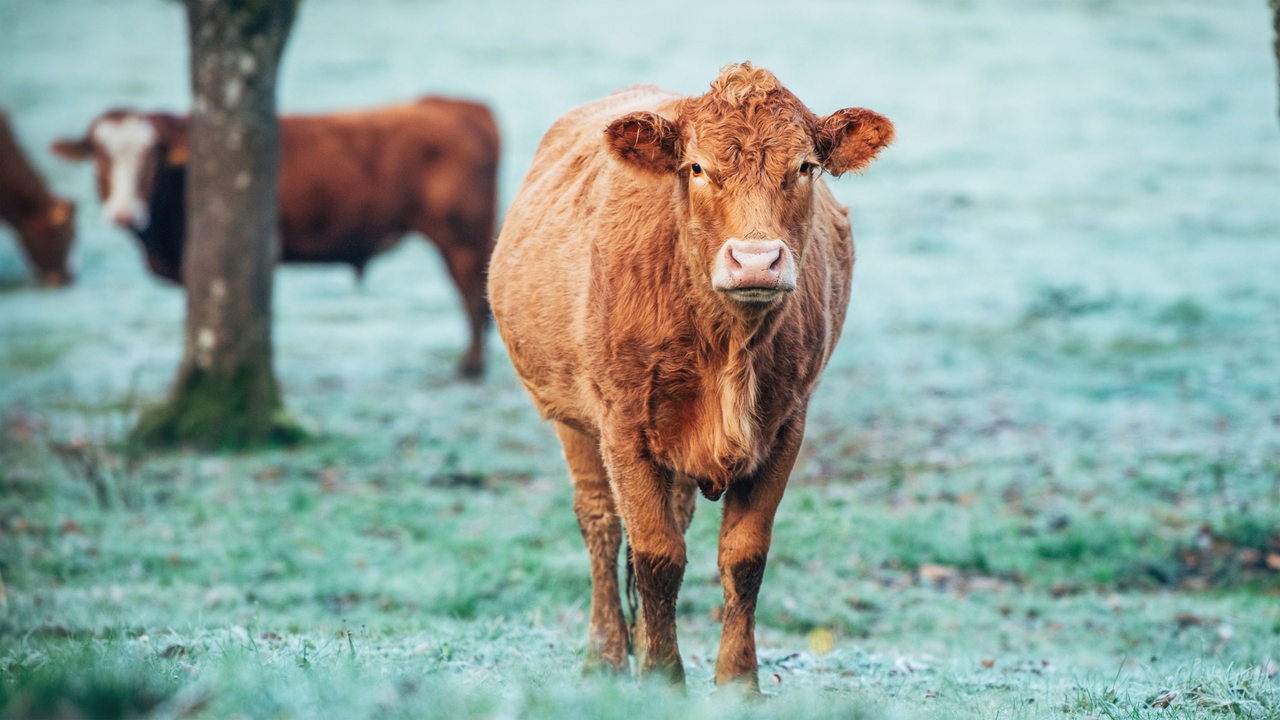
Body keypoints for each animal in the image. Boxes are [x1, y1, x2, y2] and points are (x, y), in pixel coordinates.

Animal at [56, 98, 504, 379]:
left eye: (151, 158)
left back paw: (471, 367)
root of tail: (457, 106)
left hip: (461, 237)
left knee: (472, 298)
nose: (122, 213)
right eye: (99, 157)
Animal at [483, 64, 896, 686]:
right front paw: (661, 678)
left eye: (805, 167)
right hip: (574, 423)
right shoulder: (622, 427)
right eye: (697, 168)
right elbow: (657, 556)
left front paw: (738, 682)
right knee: (602, 523)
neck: (727, 346)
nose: (756, 261)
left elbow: (743, 556)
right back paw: (606, 655)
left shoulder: (786, 426)